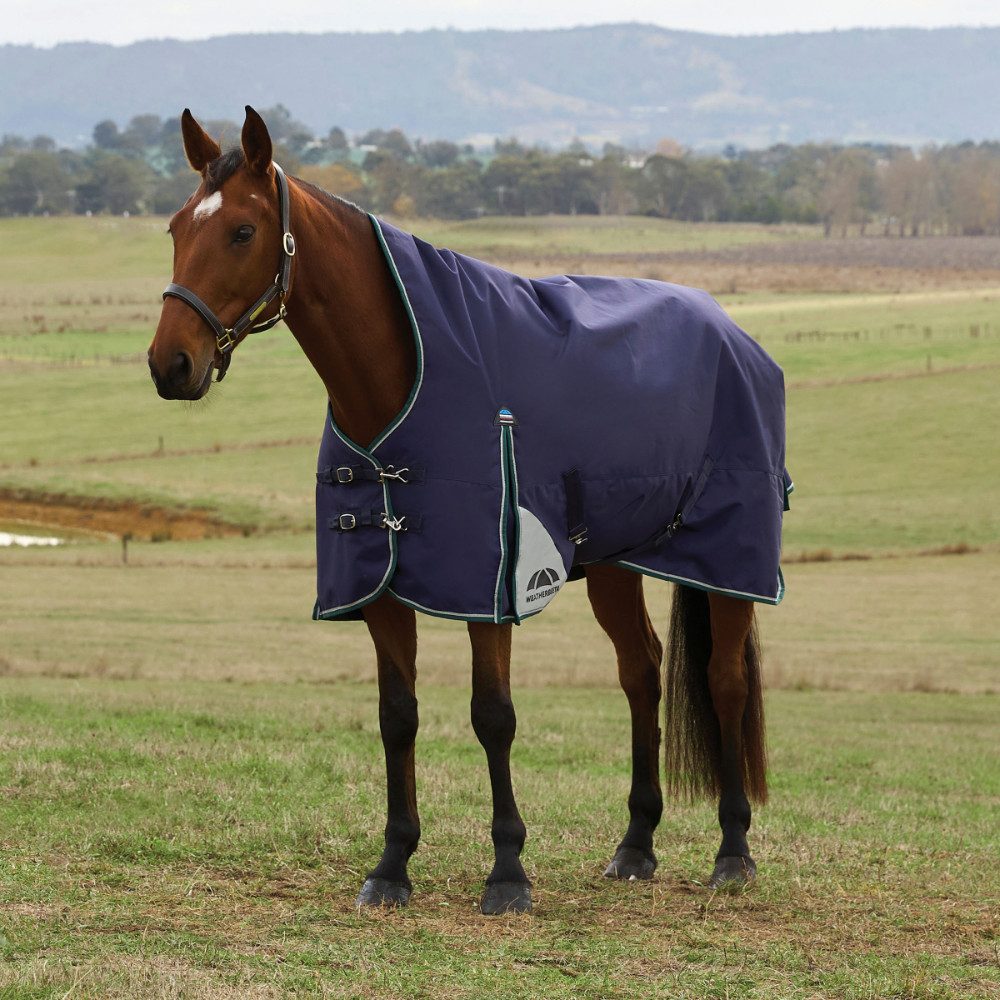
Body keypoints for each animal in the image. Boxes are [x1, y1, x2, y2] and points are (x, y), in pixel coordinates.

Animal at [148, 106, 788, 915]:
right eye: (176, 227)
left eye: (241, 231)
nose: (170, 365)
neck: (406, 377)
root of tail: (733, 333)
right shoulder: (382, 586)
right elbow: (398, 717)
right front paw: (392, 865)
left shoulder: (492, 586)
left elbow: (494, 717)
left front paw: (508, 871)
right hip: (615, 562)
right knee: (642, 672)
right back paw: (635, 845)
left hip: (728, 559)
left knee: (724, 680)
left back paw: (733, 852)